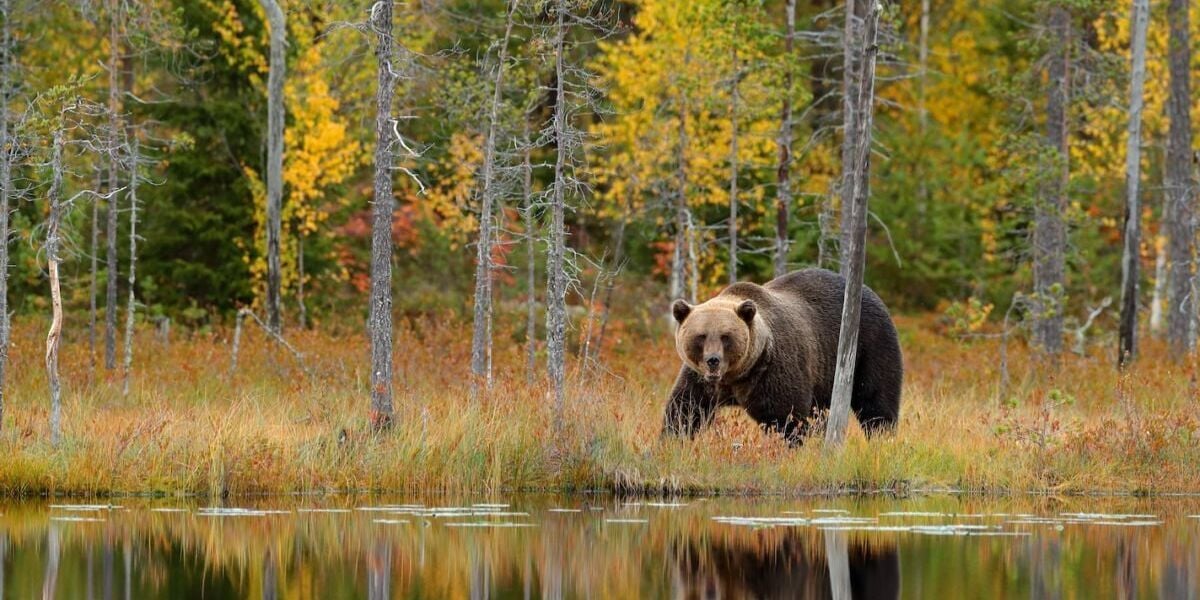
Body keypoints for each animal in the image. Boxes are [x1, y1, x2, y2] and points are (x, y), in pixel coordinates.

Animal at [662, 268, 902, 444]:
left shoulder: (772, 370)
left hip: (870, 344)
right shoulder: (700, 378)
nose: (713, 360)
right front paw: (671, 441)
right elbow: (685, 409)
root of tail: (869, 291)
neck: (736, 375)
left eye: (725, 336)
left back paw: (882, 436)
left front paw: (791, 445)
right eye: (701, 336)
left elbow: (786, 416)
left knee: (875, 399)